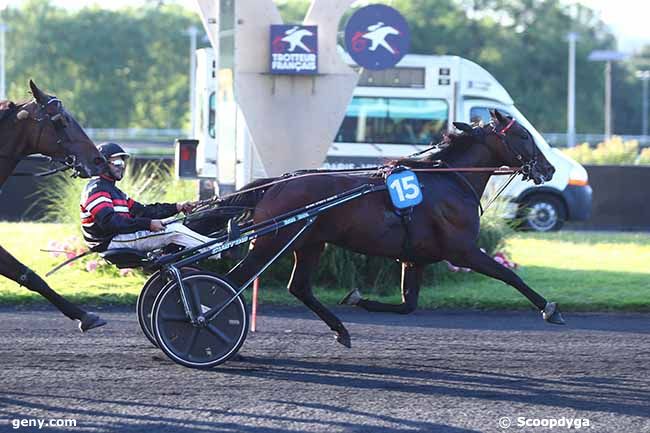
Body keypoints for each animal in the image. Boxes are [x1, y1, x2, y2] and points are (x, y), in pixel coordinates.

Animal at [219, 109, 560, 346]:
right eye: (524, 135)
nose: (550, 168)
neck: (450, 180)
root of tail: (275, 184)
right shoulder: (462, 251)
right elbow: (509, 275)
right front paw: (550, 309)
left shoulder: (414, 259)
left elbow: (408, 306)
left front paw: (358, 299)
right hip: (272, 244)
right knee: (231, 282)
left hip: (309, 243)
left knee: (299, 287)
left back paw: (341, 330)